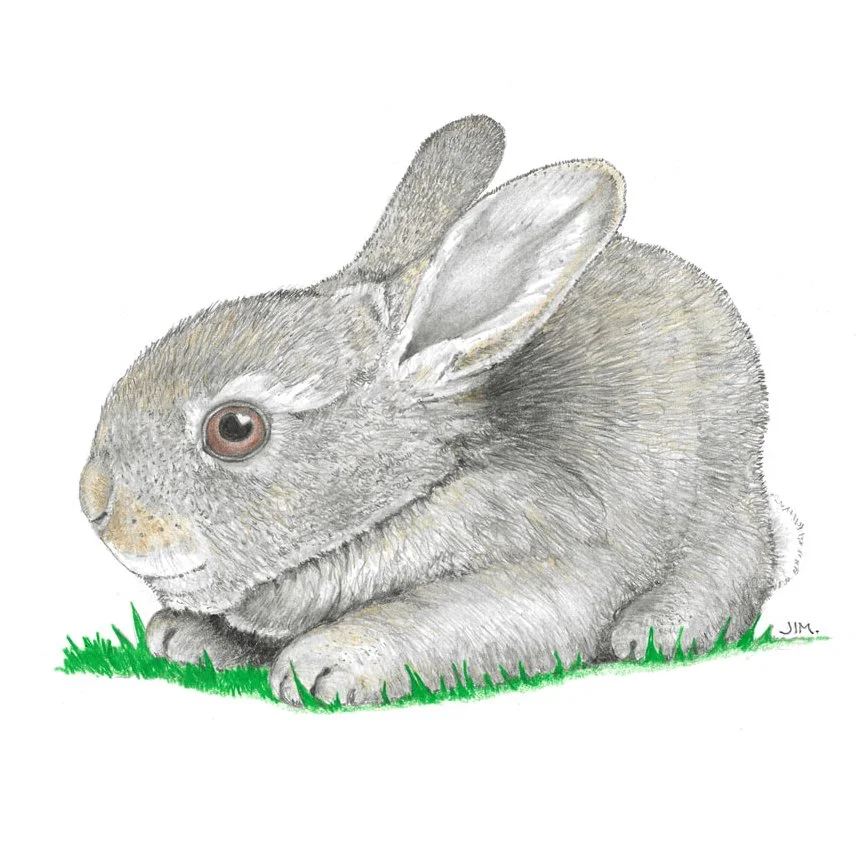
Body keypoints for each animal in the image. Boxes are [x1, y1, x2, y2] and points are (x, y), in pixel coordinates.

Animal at [80, 114, 795, 706]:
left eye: (235, 429)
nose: (94, 501)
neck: (428, 483)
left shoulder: (554, 561)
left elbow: (448, 617)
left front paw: (324, 665)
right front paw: (183, 636)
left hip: (719, 502)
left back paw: (657, 632)